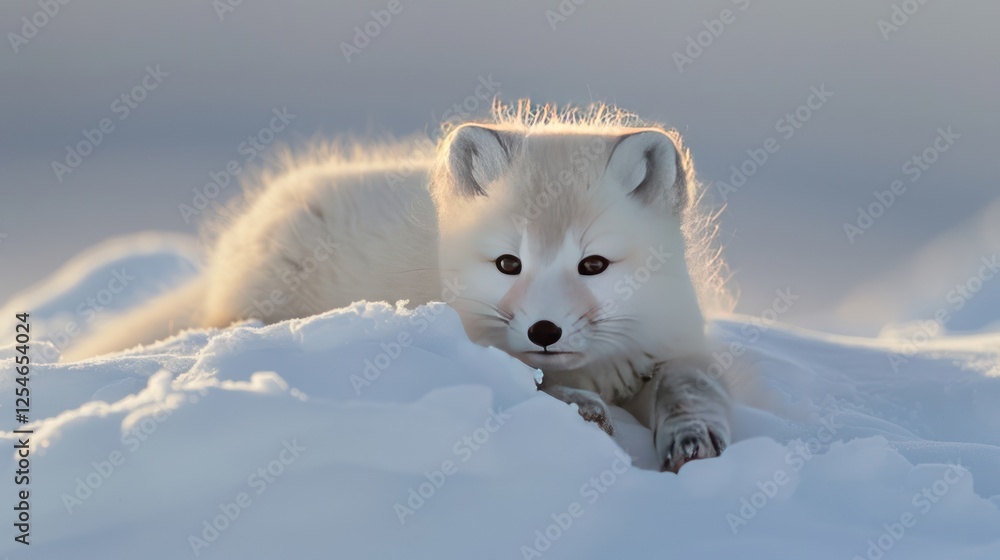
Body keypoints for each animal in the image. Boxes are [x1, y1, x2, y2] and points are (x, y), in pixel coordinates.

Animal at [65, 101, 733, 473]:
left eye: (593, 265)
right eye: (509, 263)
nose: (545, 330)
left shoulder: (678, 343)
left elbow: (691, 384)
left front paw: (694, 435)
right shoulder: (471, 342)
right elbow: (525, 377)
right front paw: (580, 406)